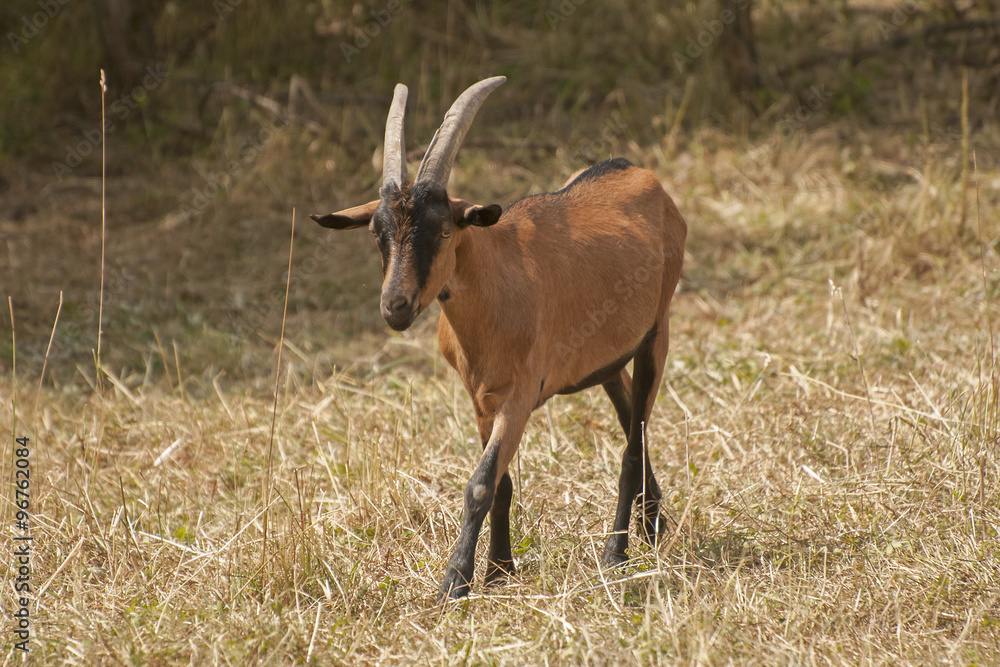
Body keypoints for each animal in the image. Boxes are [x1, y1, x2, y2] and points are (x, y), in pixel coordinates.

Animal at [312, 77, 687, 601]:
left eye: (444, 230)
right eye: (375, 232)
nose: (395, 306)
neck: (497, 285)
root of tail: (636, 171)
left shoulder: (520, 395)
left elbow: (479, 484)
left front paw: (455, 581)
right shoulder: (480, 399)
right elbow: (502, 485)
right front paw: (499, 568)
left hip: (657, 332)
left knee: (633, 441)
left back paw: (617, 551)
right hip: (608, 358)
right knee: (633, 414)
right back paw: (652, 524)